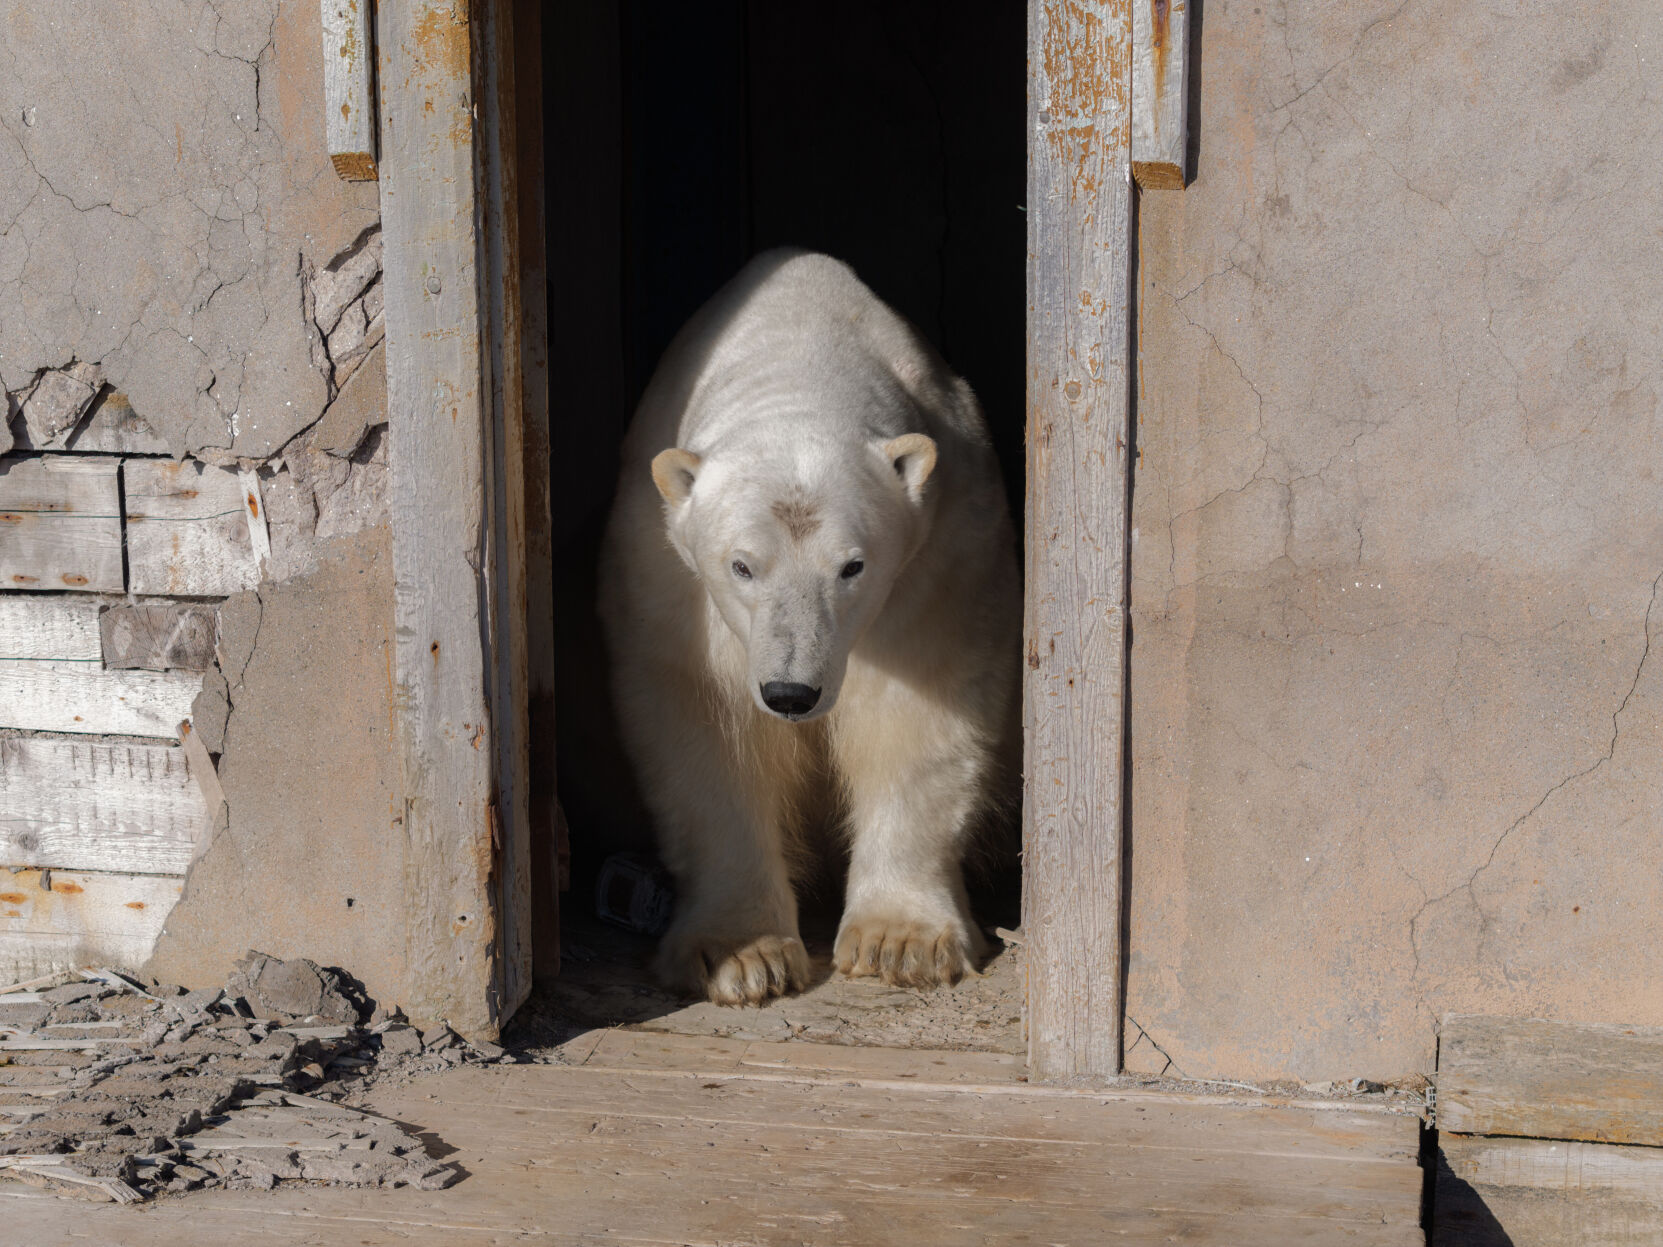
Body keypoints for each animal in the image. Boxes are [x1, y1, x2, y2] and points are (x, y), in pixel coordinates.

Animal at [598, 249, 1020, 1006]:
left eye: (852, 566)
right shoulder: (666, 572)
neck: (800, 351)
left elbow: (919, 712)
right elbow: (708, 731)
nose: (792, 693)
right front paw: (738, 956)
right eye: (741, 566)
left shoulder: (941, 551)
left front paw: (900, 942)